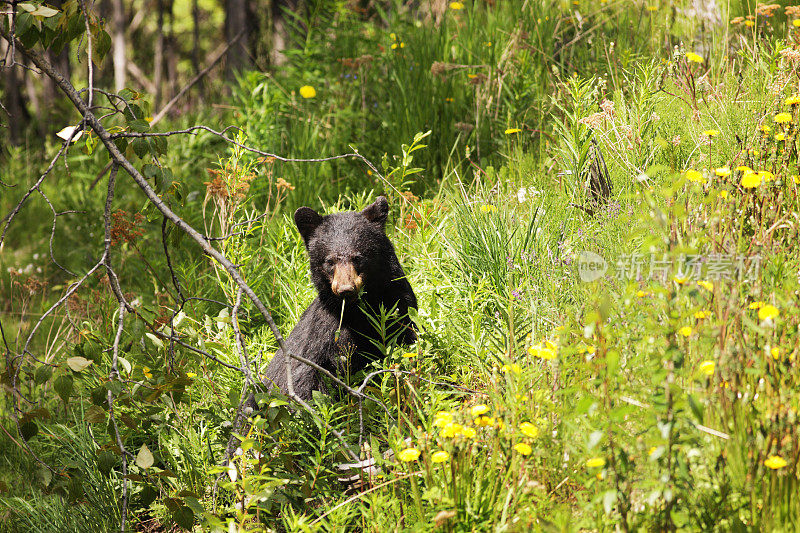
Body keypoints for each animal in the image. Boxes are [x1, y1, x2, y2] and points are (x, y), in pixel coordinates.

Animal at [262, 195, 418, 400]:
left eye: (358, 257)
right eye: (330, 261)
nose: (346, 289)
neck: (358, 312)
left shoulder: (399, 303)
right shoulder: (325, 334)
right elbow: (306, 380)